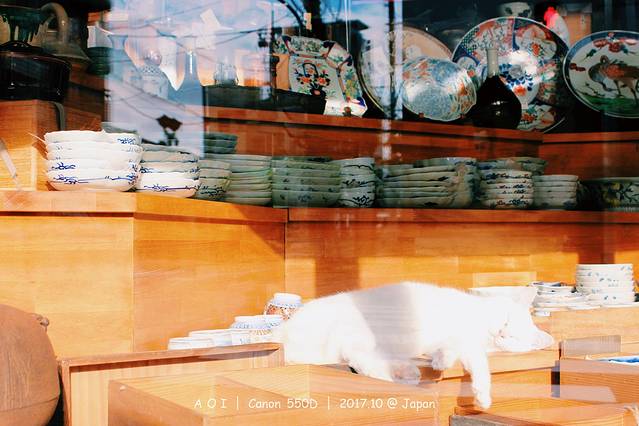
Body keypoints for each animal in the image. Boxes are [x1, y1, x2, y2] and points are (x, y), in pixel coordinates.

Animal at [272, 282, 554, 409]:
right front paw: (482, 396)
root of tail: (283, 333)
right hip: (357, 332)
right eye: (505, 320)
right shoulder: (462, 337)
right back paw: (397, 378)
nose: (500, 333)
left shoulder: (465, 344)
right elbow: (476, 361)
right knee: (359, 360)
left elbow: (471, 359)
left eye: (514, 338)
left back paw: (407, 372)